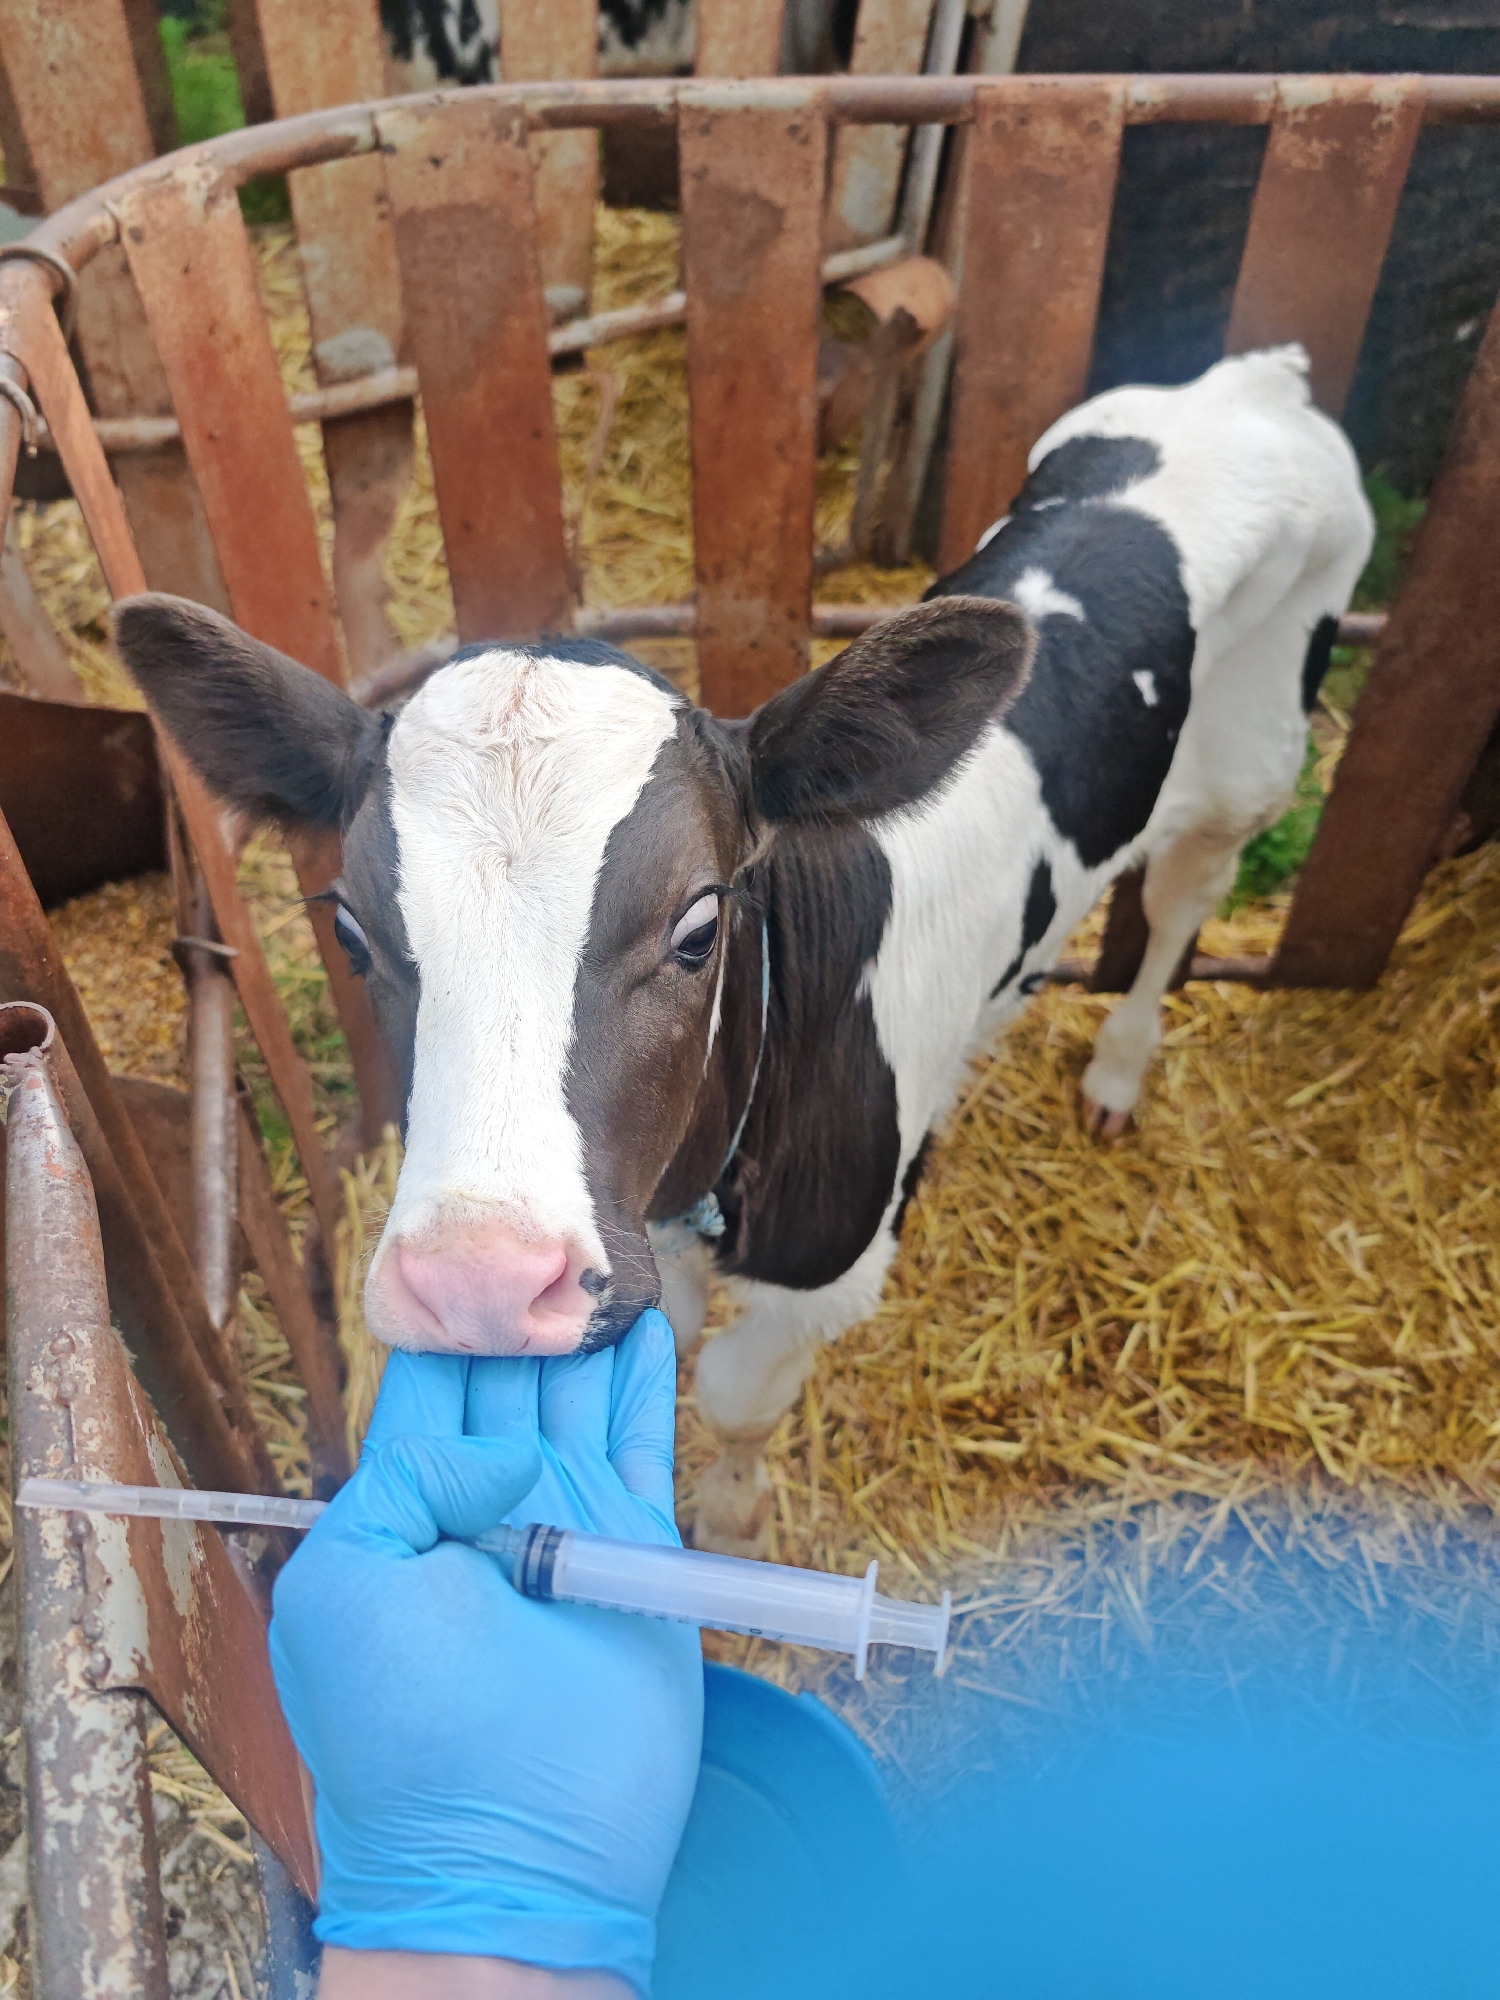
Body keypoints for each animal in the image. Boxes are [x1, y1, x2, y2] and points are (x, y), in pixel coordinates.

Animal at [113, 346, 1372, 1554]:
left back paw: (1118, 1066)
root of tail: (1259, 376)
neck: (701, 1174)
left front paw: (725, 1521)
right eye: (351, 928)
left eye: (699, 926)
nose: (479, 1284)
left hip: (1258, 755)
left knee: (1183, 898)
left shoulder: (832, 1266)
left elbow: (733, 1389)